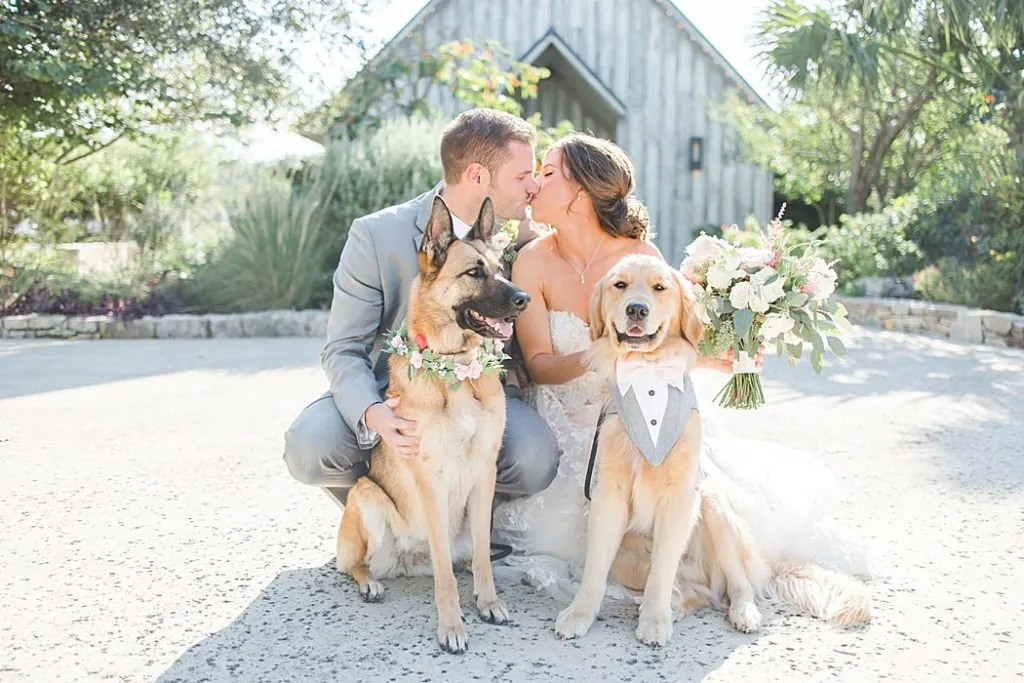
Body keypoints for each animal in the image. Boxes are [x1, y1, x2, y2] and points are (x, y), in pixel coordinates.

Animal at [335, 196, 528, 651]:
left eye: (501, 268)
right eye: (474, 272)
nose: (524, 298)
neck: (456, 372)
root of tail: (409, 560)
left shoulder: (484, 474)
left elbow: (481, 559)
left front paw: (488, 602)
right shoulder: (431, 482)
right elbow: (444, 577)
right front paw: (452, 626)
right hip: (366, 495)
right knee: (355, 564)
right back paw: (369, 583)